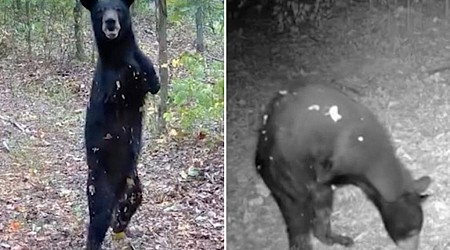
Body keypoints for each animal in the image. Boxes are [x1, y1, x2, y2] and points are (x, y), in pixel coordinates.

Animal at [80, 0, 160, 249]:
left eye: (119, 8)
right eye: (99, 11)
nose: (110, 22)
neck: (118, 51)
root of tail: (118, 188)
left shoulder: (144, 67)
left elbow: (152, 80)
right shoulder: (110, 83)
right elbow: (119, 84)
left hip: (133, 184)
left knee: (131, 202)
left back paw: (120, 224)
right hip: (100, 186)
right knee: (98, 219)